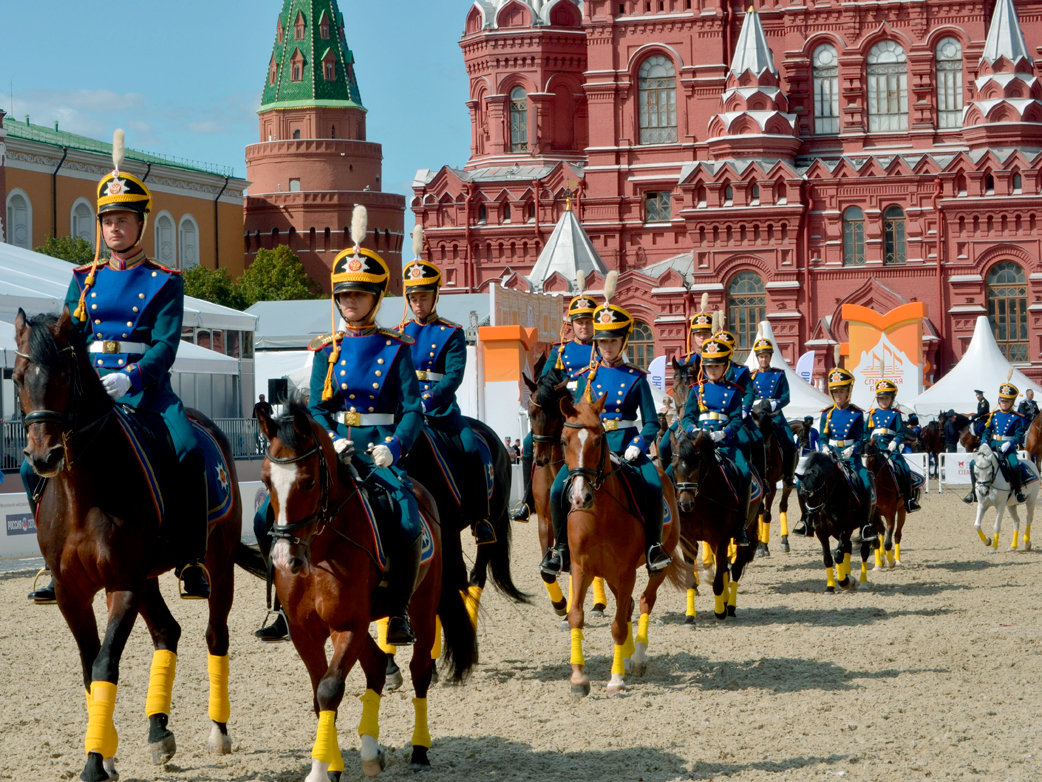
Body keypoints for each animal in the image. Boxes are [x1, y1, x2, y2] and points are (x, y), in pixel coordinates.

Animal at [15, 308, 242, 782]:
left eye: (63, 374)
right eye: (18, 377)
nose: (43, 457)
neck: (83, 493)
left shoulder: (122, 584)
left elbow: (105, 663)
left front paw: (95, 762)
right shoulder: (73, 593)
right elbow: (90, 668)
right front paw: (105, 754)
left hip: (219, 563)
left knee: (215, 635)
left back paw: (218, 731)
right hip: (149, 577)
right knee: (167, 632)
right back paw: (159, 731)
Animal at [256, 400, 477, 779]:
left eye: (308, 481)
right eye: (266, 480)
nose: (284, 558)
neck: (321, 552)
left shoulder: (348, 625)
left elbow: (330, 689)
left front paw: (319, 769)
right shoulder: (305, 631)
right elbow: (319, 694)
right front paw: (331, 765)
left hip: (421, 607)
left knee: (420, 671)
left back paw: (419, 749)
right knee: (375, 666)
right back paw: (372, 751)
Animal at [558, 394, 687, 696]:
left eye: (597, 441)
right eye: (564, 440)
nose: (579, 497)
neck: (599, 515)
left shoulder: (626, 571)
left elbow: (618, 625)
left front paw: (615, 679)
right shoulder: (581, 568)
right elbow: (577, 615)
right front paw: (578, 679)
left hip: (654, 567)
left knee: (643, 601)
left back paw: (637, 658)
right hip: (610, 574)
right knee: (626, 604)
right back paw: (627, 657)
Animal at [796, 452, 879, 592]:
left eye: (818, 494)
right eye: (803, 495)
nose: (811, 517)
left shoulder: (846, 528)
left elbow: (838, 555)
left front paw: (844, 582)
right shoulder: (821, 532)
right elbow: (828, 558)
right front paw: (831, 587)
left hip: (865, 525)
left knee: (864, 551)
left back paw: (862, 582)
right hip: (835, 531)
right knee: (848, 546)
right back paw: (849, 576)